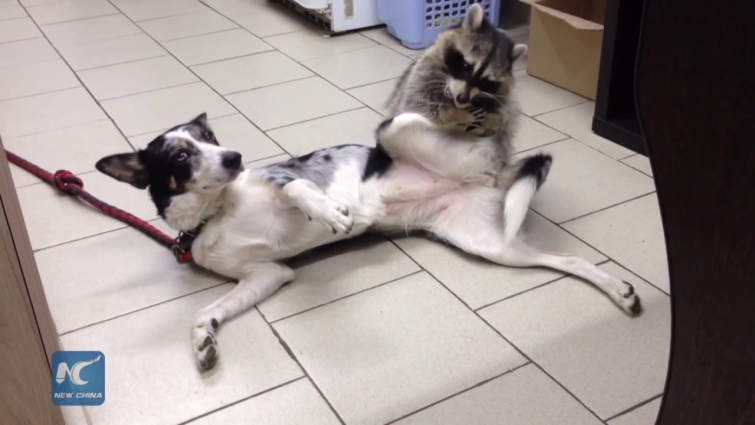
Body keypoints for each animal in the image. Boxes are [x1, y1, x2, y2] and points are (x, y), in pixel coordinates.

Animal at [386, 4, 527, 167]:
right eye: (466, 66)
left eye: (485, 80)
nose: (463, 98)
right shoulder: (422, 74)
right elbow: (420, 105)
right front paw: (453, 115)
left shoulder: (503, 97)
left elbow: (505, 117)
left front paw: (492, 120)